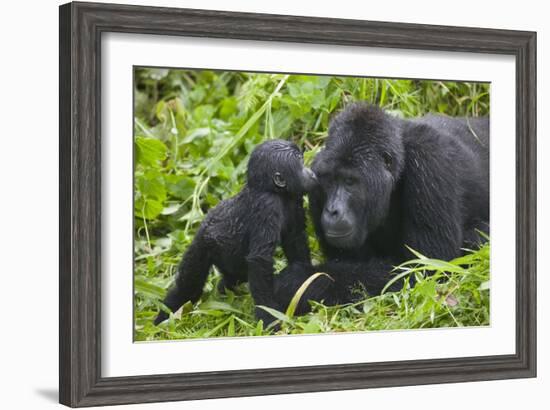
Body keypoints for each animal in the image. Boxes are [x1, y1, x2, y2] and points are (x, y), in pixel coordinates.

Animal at [155, 139, 320, 326]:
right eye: (300, 162)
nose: (311, 172)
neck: (273, 190)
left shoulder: (294, 198)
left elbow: (295, 240)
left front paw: (304, 279)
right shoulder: (267, 206)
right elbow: (260, 260)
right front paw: (268, 315)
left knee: (234, 276)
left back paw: (223, 290)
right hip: (201, 246)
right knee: (189, 287)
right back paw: (164, 317)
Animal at [276, 103, 492, 314]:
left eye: (349, 181)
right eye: (329, 181)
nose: (332, 211)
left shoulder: (431, 161)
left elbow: (425, 268)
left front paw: (297, 281)